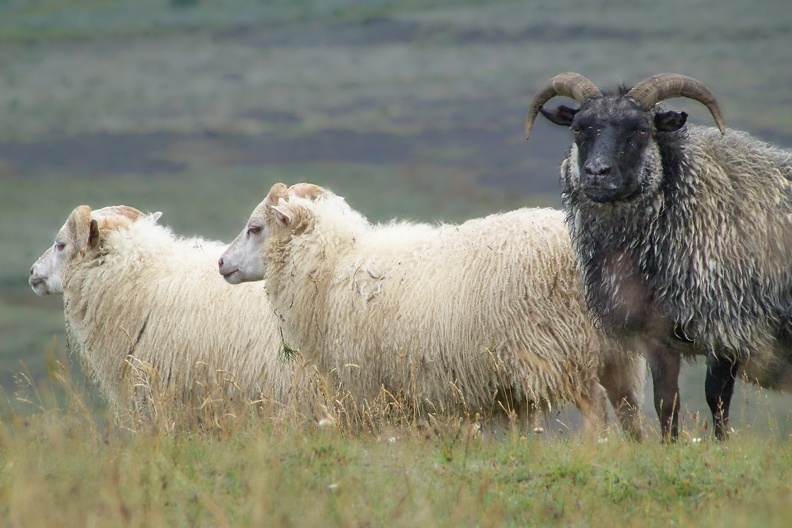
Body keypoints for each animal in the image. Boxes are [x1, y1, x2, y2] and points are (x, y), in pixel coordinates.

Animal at [218, 182, 645, 438]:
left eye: (255, 228)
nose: (221, 262)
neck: (334, 264)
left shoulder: (372, 387)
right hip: (616, 351)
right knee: (629, 409)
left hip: (555, 346)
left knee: (595, 407)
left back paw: (593, 453)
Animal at [525, 71, 792, 439]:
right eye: (578, 128)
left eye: (641, 130)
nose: (597, 173)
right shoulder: (655, 336)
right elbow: (666, 401)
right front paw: (670, 444)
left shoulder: (727, 325)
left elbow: (716, 397)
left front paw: (721, 445)